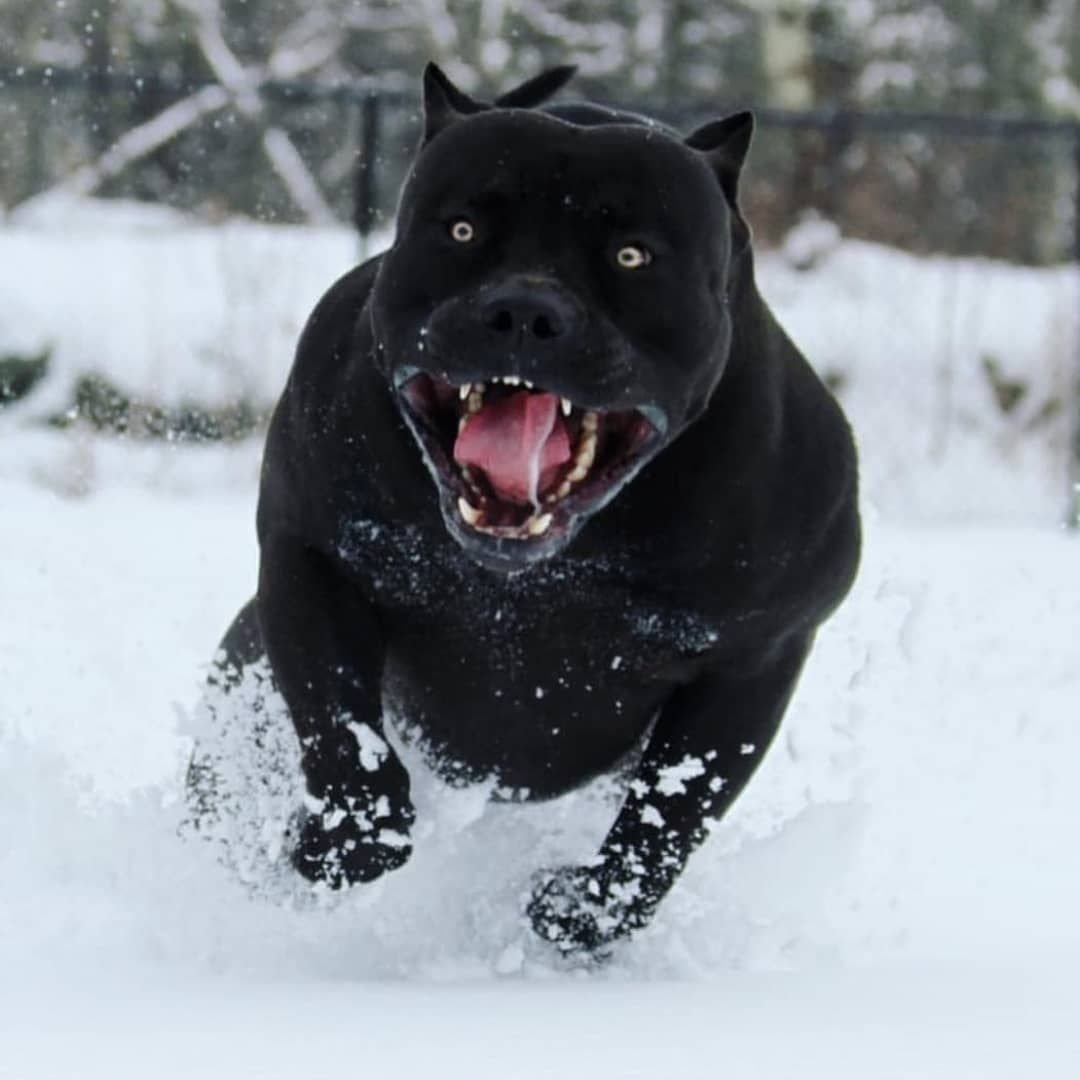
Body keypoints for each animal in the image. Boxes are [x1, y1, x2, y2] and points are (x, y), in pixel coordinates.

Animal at [190, 65, 855, 954]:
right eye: (463, 230)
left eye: (633, 256)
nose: (525, 311)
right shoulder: (311, 559)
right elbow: (340, 728)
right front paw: (343, 842)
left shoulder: (757, 658)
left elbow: (669, 816)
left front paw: (583, 911)